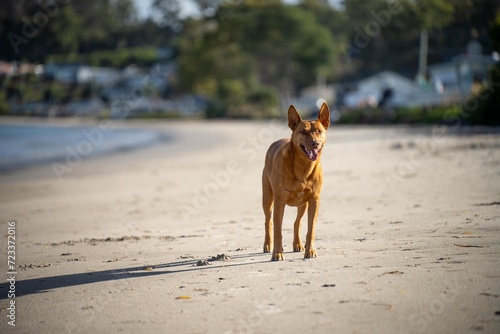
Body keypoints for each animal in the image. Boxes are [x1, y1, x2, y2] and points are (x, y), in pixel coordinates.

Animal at [260, 102, 330, 260]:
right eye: (303, 132)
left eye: (319, 131)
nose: (315, 143)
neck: (303, 167)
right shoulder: (280, 201)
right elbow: (278, 231)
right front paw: (277, 253)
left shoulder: (314, 200)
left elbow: (311, 229)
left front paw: (310, 250)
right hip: (267, 198)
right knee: (268, 221)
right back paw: (268, 245)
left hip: (303, 203)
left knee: (297, 222)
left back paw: (298, 244)